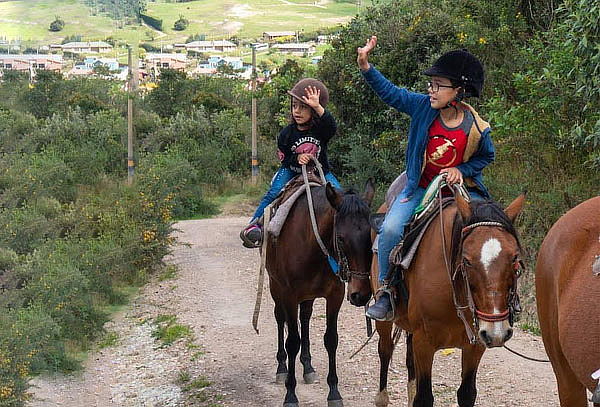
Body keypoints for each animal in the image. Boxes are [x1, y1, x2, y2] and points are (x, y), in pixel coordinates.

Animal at [264, 178, 372, 407]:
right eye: (341, 238)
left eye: (371, 236)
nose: (361, 295)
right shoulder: (289, 296)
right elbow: (292, 342)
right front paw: (290, 394)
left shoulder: (335, 295)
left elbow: (331, 339)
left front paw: (334, 392)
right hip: (275, 287)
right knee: (280, 319)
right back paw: (281, 368)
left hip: (308, 296)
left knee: (305, 318)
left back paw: (308, 367)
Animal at [368, 194, 528, 407]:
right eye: (467, 260)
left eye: (514, 258)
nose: (497, 333)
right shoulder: (424, 343)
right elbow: (424, 397)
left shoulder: (475, 344)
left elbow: (467, 394)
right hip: (384, 320)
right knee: (385, 351)